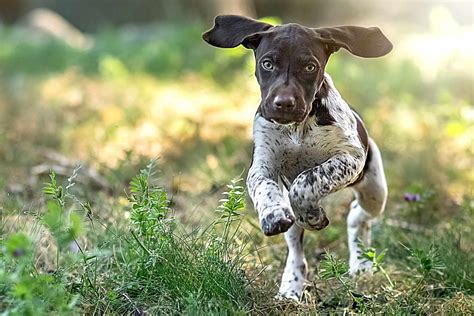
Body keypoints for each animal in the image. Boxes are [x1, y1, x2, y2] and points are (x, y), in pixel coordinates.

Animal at [204, 15, 392, 302]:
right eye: (267, 63)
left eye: (309, 66)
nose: (284, 103)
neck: (297, 128)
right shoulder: (262, 166)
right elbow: (266, 188)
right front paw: (273, 214)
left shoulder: (350, 158)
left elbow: (307, 180)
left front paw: (312, 215)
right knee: (296, 248)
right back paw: (291, 286)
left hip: (374, 190)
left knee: (357, 217)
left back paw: (361, 262)